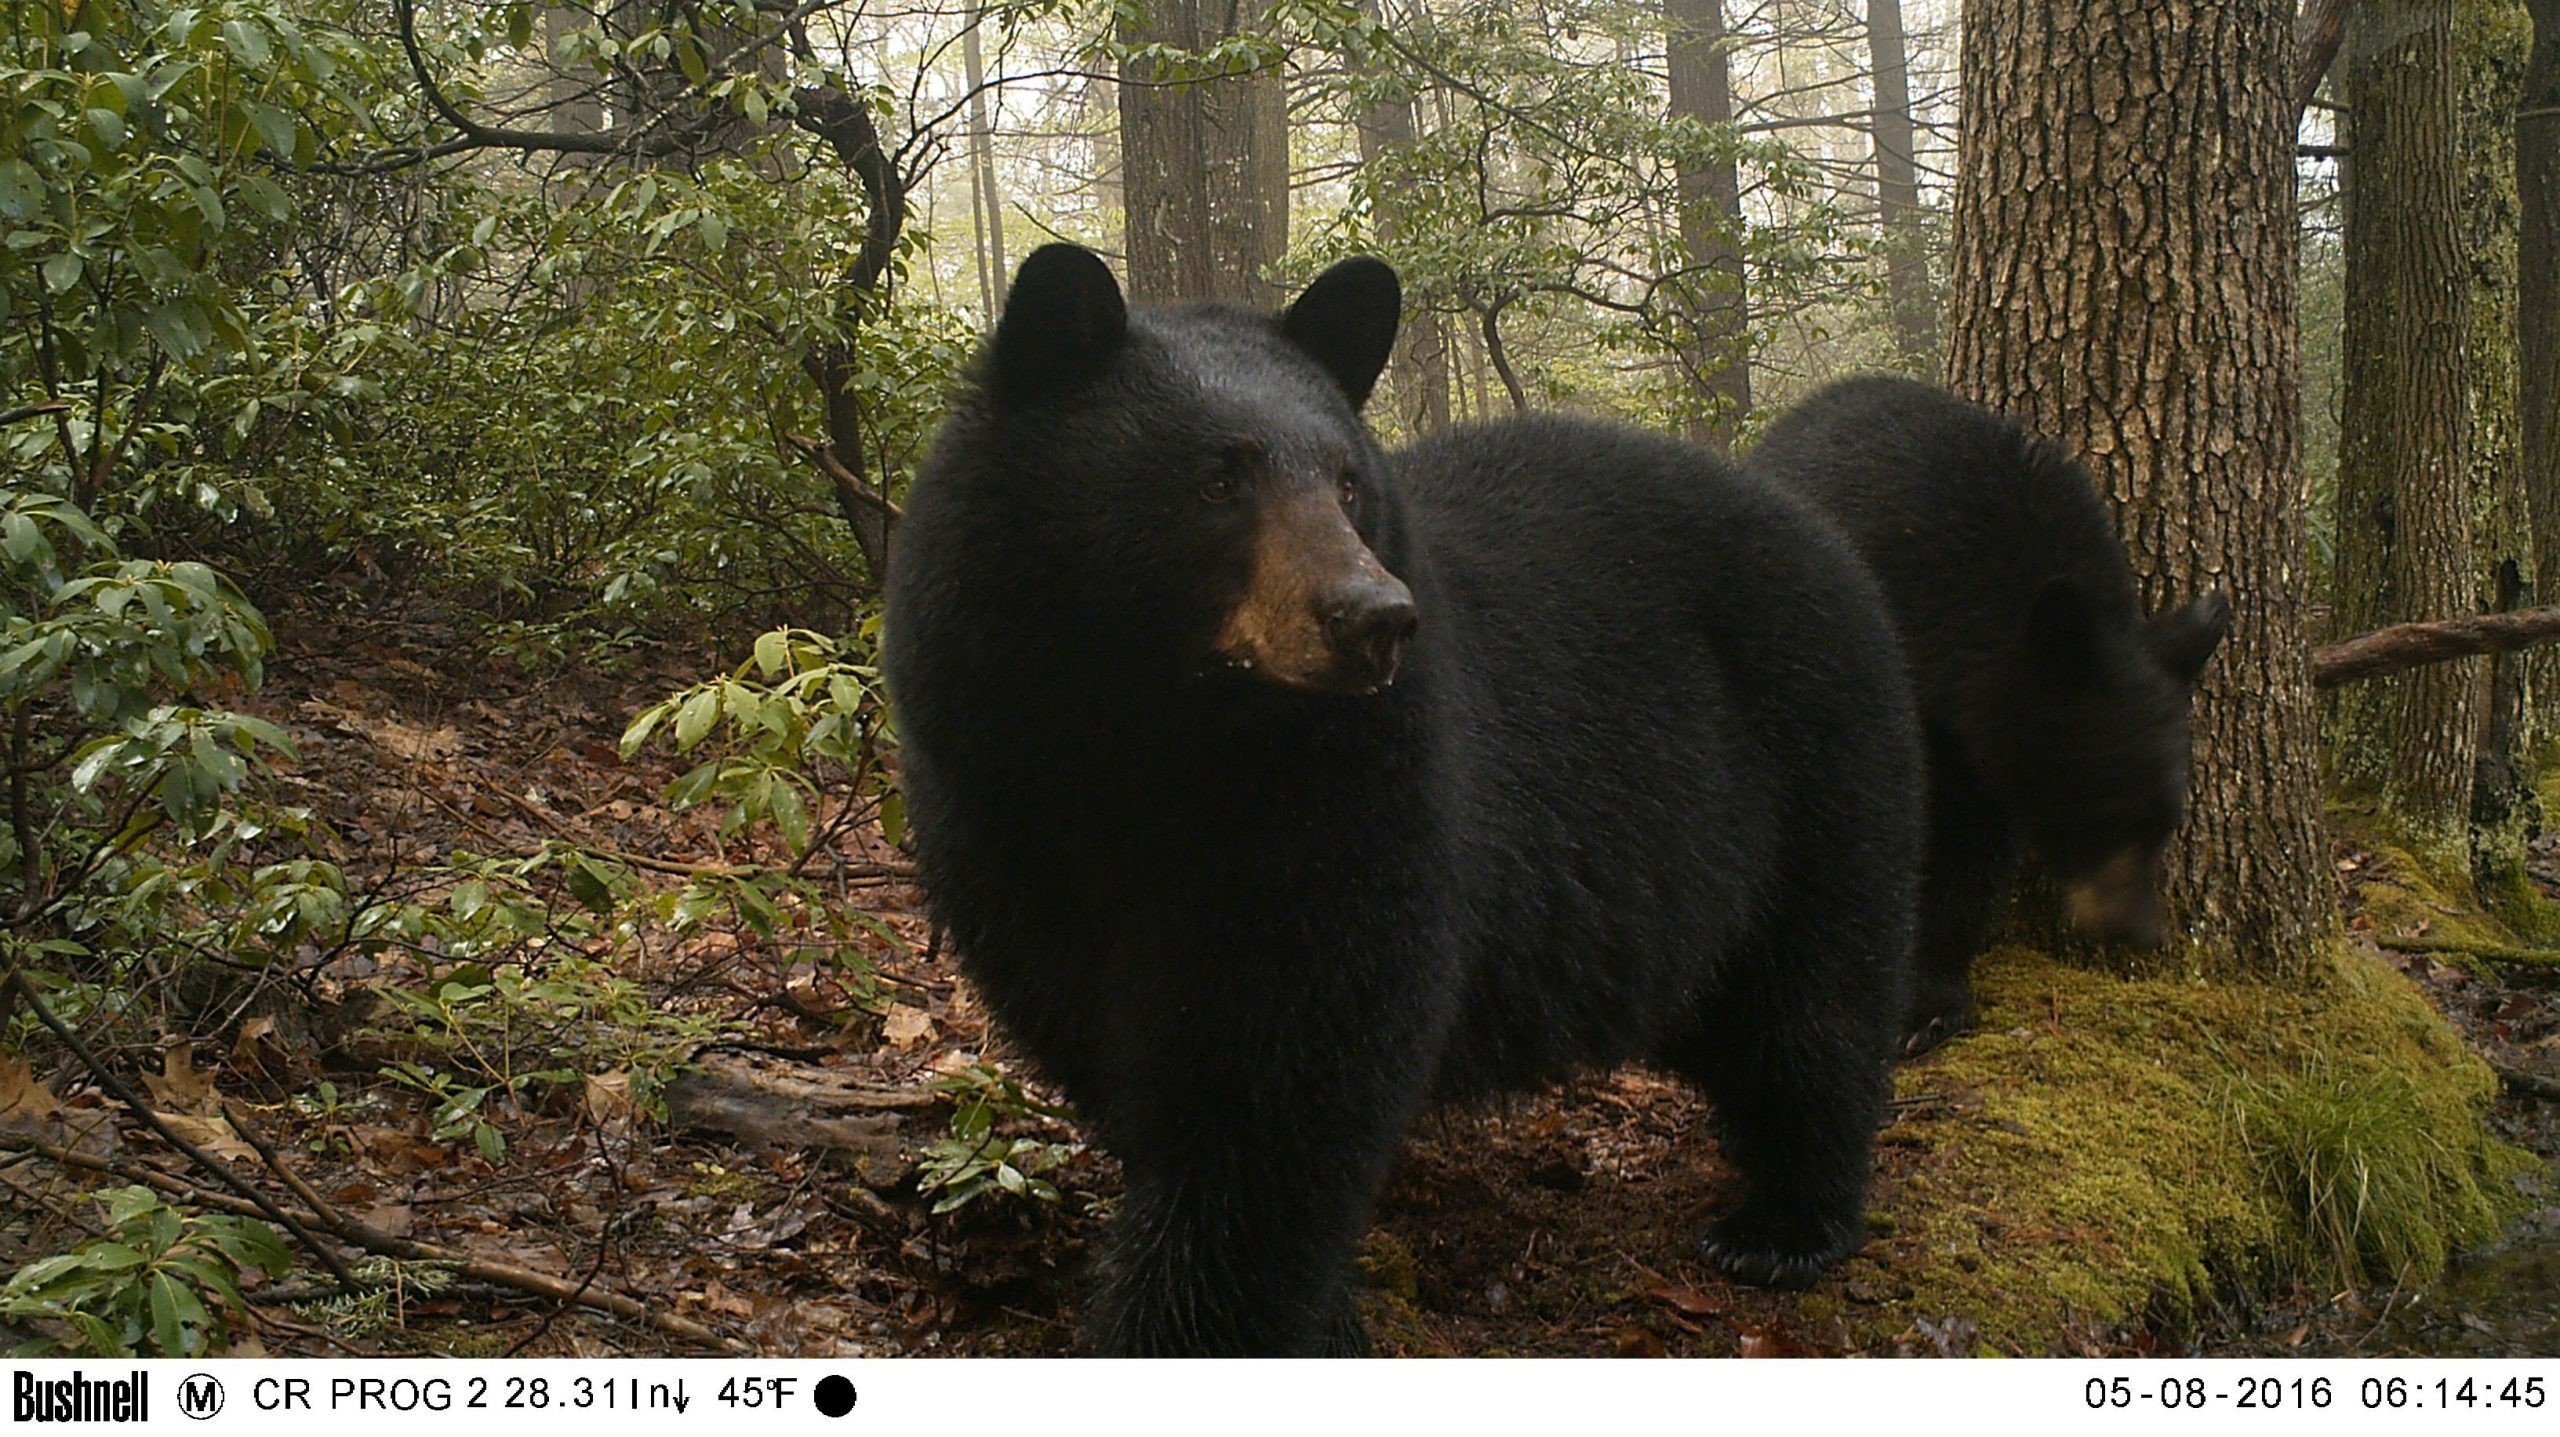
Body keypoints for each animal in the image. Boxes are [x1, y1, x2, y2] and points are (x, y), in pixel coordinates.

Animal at [880, 245, 1925, 1352]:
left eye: (1345, 480)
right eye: (1219, 477)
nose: (1372, 617)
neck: (1160, 735)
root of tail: (1815, 529)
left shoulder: (1361, 792)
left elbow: (1285, 1065)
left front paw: (1200, 1322)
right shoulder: (1002, 794)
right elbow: (1100, 1035)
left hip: (1821, 757)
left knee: (1816, 995)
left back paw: (1787, 1222)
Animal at [1751, 376, 2232, 1055]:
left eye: (2166, 822)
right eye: (2103, 815)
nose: (2140, 932)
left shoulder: (1989, 755)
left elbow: (1974, 858)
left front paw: (1936, 1001)